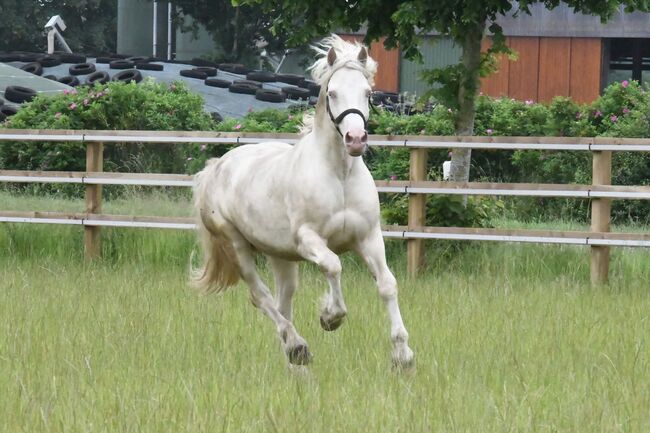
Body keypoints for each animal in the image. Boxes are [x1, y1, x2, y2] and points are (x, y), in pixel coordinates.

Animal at [194, 35, 416, 368]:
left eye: (368, 93)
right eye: (333, 93)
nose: (355, 139)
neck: (338, 175)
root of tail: (214, 168)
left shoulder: (369, 237)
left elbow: (388, 284)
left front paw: (403, 355)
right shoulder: (308, 239)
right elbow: (334, 266)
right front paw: (330, 316)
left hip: (280, 256)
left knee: (282, 302)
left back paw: (293, 356)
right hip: (237, 245)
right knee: (261, 297)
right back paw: (298, 346)